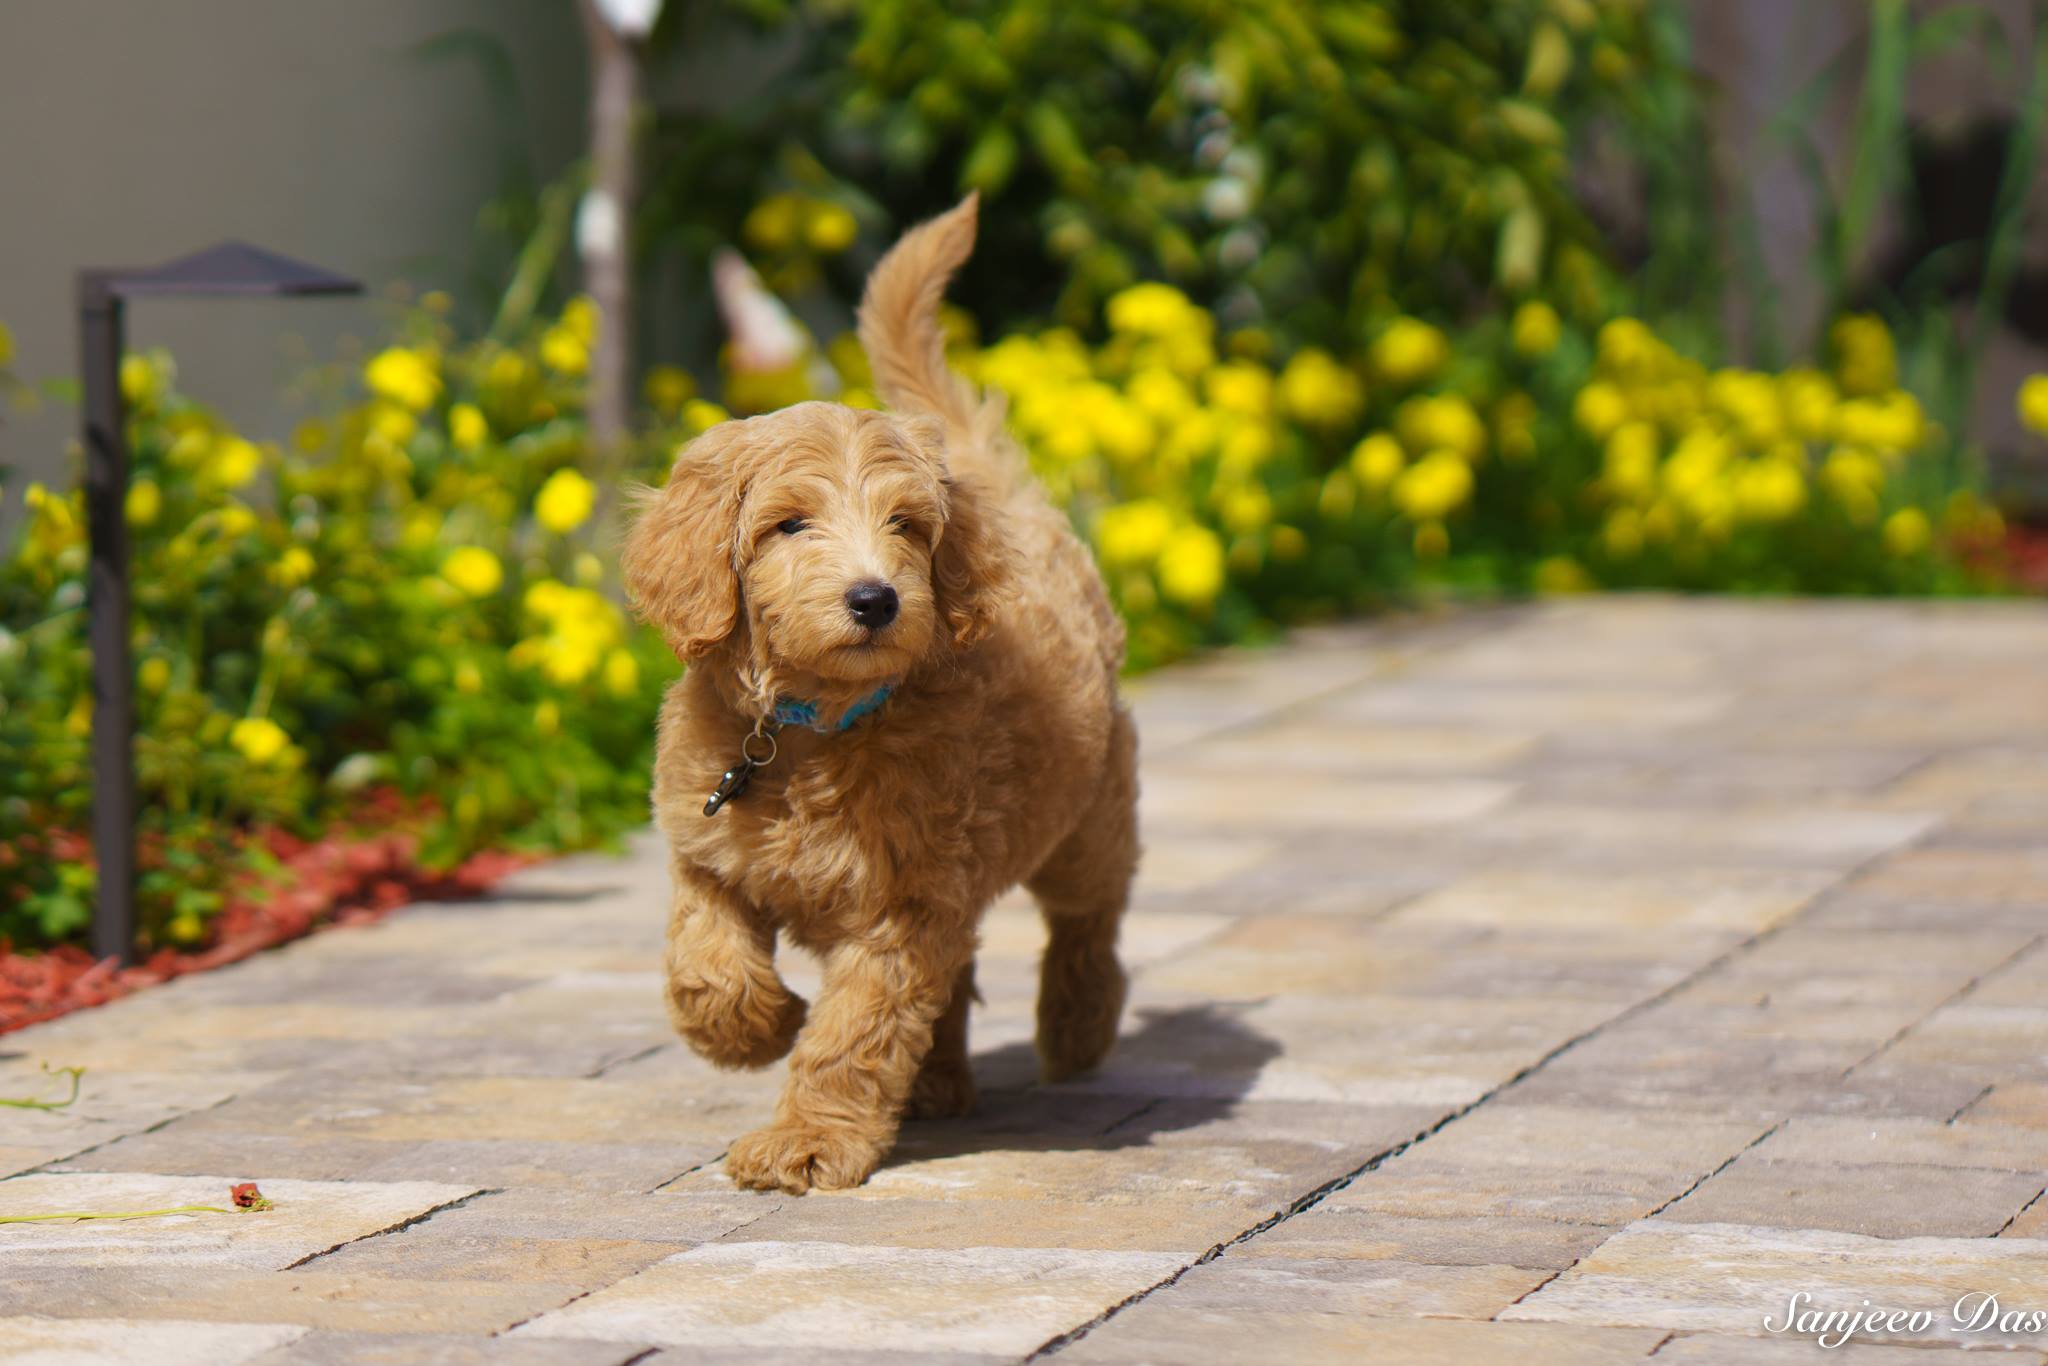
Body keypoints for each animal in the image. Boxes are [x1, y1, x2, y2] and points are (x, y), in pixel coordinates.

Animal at [618, 194, 1138, 1196]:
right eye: (789, 525)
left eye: (904, 526)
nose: (875, 598)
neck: (807, 732)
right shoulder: (707, 848)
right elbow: (705, 964)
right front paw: (759, 1026)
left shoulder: (900, 904)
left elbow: (854, 1029)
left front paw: (805, 1140)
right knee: (966, 963)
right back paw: (939, 1083)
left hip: (1090, 813)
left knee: (1087, 919)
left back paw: (1077, 1025)